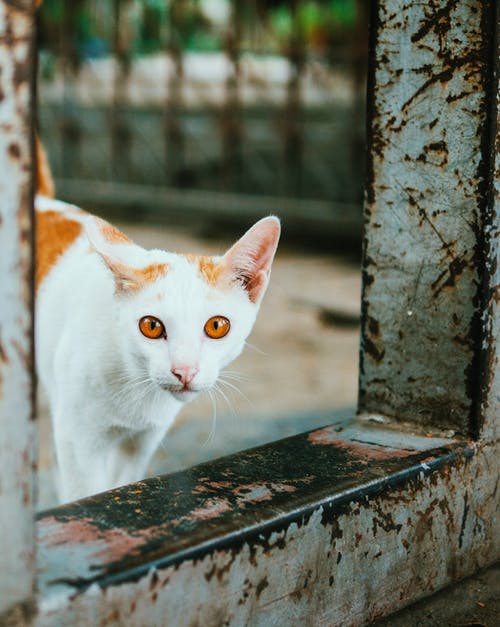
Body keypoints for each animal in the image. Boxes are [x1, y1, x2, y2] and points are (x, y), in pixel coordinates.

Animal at [34, 140, 282, 502]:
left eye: (217, 326)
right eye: (151, 326)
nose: (185, 371)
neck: (137, 384)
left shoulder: (142, 442)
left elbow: (122, 485)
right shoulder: (78, 438)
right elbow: (86, 491)